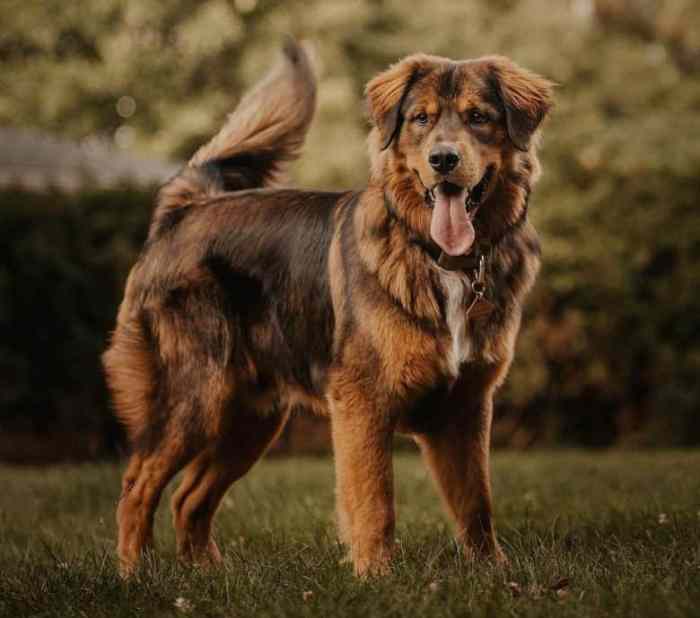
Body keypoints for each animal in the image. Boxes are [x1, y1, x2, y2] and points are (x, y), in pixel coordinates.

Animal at [102, 41, 552, 576]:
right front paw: (376, 574)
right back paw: (135, 574)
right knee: (137, 486)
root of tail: (186, 210)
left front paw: (492, 571)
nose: (443, 159)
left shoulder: (466, 405)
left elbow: (476, 502)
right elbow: (375, 499)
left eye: (478, 117)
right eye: (420, 119)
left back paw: (206, 573)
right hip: (196, 394)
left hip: (250, 418)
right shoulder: (363, 402)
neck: (438, 258)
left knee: (187, 497)